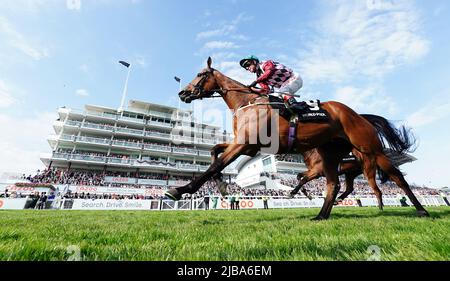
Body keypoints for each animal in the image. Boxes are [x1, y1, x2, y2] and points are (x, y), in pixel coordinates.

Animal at [166, 57, 428, 219]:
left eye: (200, 74)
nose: (182, 93)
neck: (247, 102)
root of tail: (358, 115)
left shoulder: (244, 144)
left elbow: (215, 164)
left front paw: (178, 190)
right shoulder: (247, 146)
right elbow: (214, 153)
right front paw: (221, 185)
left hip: (371, 150)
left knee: (396, 178)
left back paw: (420, 210)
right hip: (331, 154)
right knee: (334, 185)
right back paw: (321, 215)